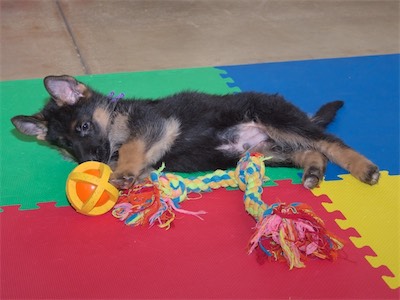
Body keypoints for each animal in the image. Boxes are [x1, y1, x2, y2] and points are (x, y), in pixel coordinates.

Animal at [10, 74, 380, 190]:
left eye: (84, 127)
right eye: (66, 145)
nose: (92, 162)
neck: (115, 117)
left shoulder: (154, 124)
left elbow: (131, 148)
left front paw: (123, 171)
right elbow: (141, 164)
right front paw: (128, 176)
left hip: (276, 118)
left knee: (329, 142)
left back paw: (364, 168)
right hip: (268, 151)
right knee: (312, 151)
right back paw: (313, 172)